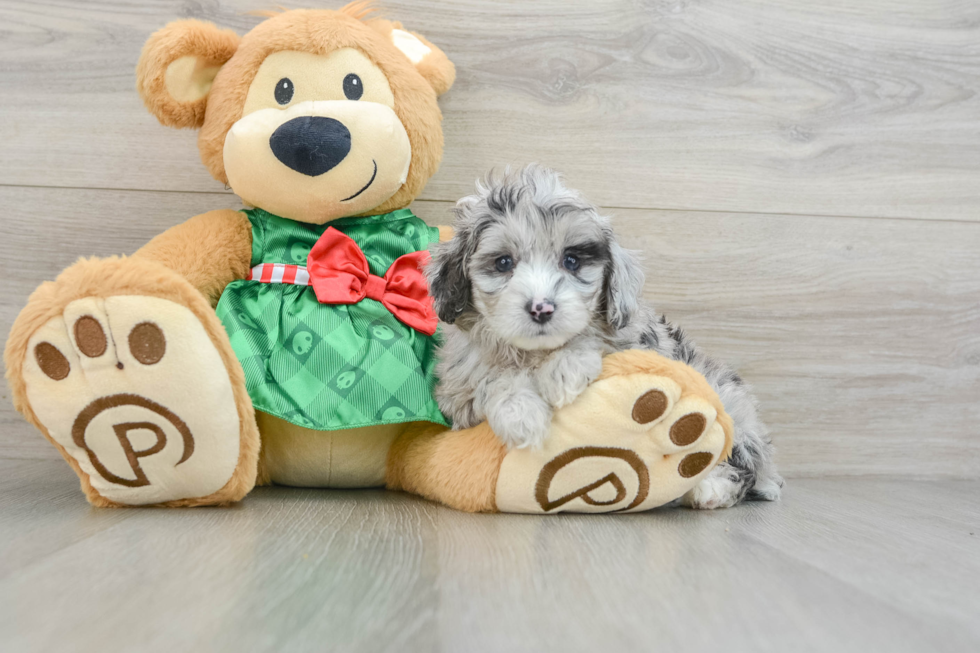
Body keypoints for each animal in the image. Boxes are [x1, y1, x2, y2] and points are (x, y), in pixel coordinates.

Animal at [426, 164, 780, 510]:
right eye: (503, 262)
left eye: (571, 260)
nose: (541, 308)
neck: (536, 352)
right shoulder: (458, 391)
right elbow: (492, 380)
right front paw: (522, 415)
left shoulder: (634, 344)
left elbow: (591, 341)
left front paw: (564, 372)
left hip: (729, 403)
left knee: (739, 464)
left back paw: (709, 487)